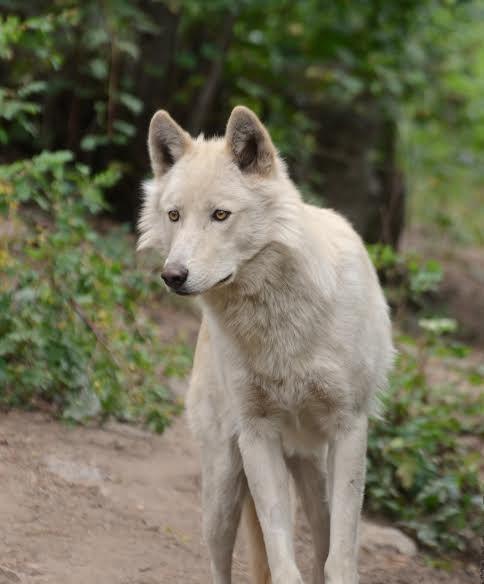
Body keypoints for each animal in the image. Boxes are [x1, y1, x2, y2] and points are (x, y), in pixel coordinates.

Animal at [138, 106, 396, 584]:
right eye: (174, 215)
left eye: (221, 215)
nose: (173, 275)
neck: (278, 325)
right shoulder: (257, 434)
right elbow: (281, 560)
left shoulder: (350, 427)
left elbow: (340, 558)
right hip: (222, 491)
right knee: (221, 562)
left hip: (312, 471)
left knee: (323, 538)